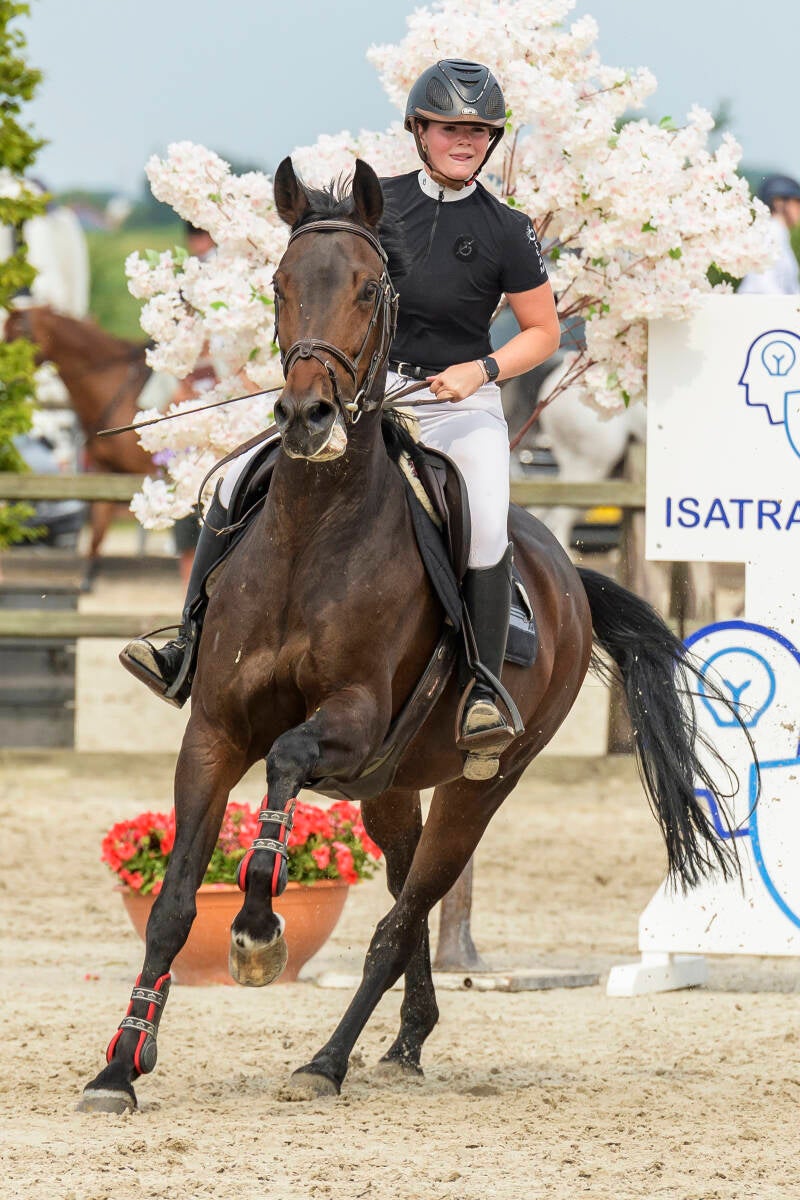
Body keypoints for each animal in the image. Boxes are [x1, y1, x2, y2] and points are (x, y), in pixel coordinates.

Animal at [78, 158, 738, 1114]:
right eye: (279, 284)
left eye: (368, 287)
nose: (307, 417)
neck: (312, 534)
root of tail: (570, 576)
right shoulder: (214, 729)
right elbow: (170, 905)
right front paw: (119, 1068)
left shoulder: (349, 717)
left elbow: (284, 767)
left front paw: (257, 934)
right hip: (386, 787)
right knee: (406, 902)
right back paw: (403, 1041)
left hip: (477, 785)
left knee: (405, 914)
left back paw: (327, 1060)